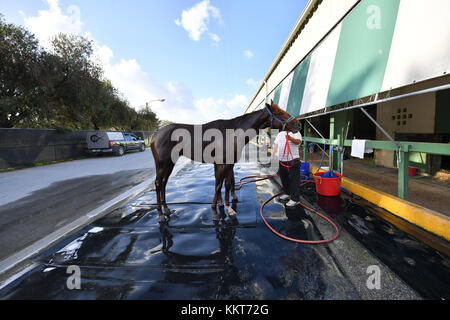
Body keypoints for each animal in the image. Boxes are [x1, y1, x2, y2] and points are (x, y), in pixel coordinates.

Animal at [151, 101, 302, 221]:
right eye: (280, 113)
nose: (299, 124)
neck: (234, 132)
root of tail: (155, 135)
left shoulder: (228, 164)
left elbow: (227, 184)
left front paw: (226, 206)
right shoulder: (223, 164)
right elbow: (219, 185)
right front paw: (216, 212)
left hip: (170, 164)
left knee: (163, 183)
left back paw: (166, 209)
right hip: (163, 164)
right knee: (158, 184)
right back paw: (160, 215)